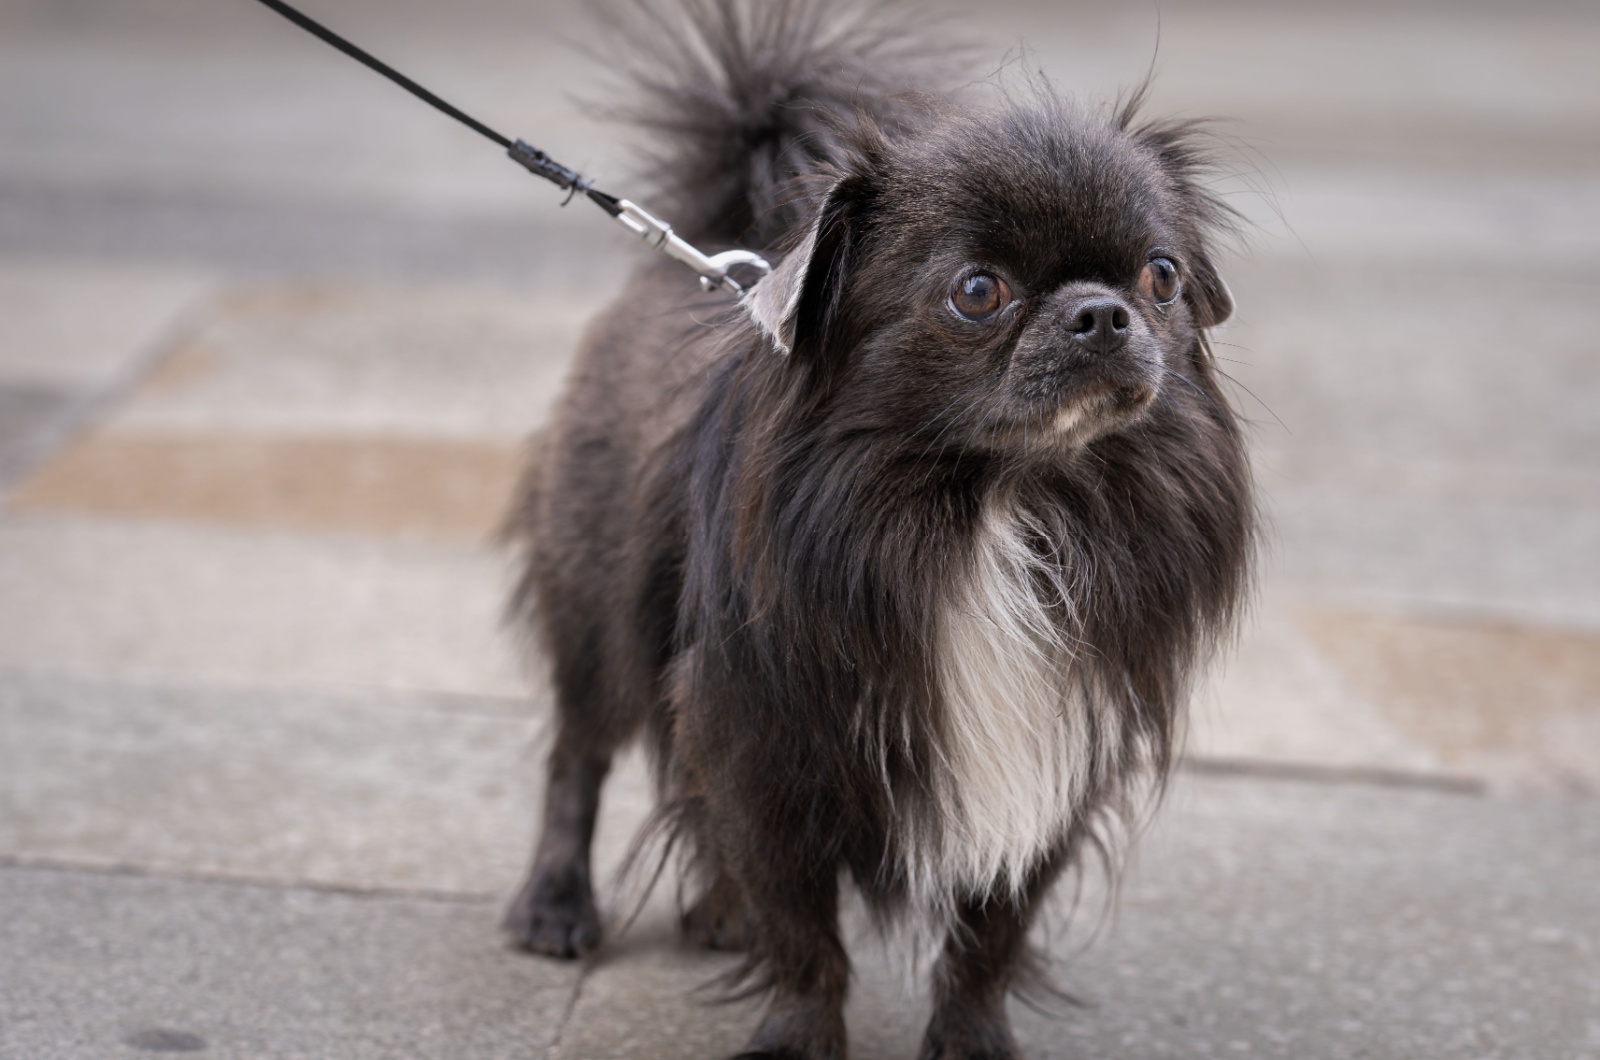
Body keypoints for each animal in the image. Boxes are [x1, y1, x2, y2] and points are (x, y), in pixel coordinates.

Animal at [505, 4, 1254, 1056]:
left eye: (1162, 277)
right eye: (976, 292)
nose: (1102, 312)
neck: (1001, 503)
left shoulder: (1044, 759)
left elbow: (990, 934)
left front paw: (973, 1041)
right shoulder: (763, 739)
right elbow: (802, 927)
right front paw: (797, 1039)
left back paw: (715, 911)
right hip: (596, 614)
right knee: (577, 757)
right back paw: (556, 907)